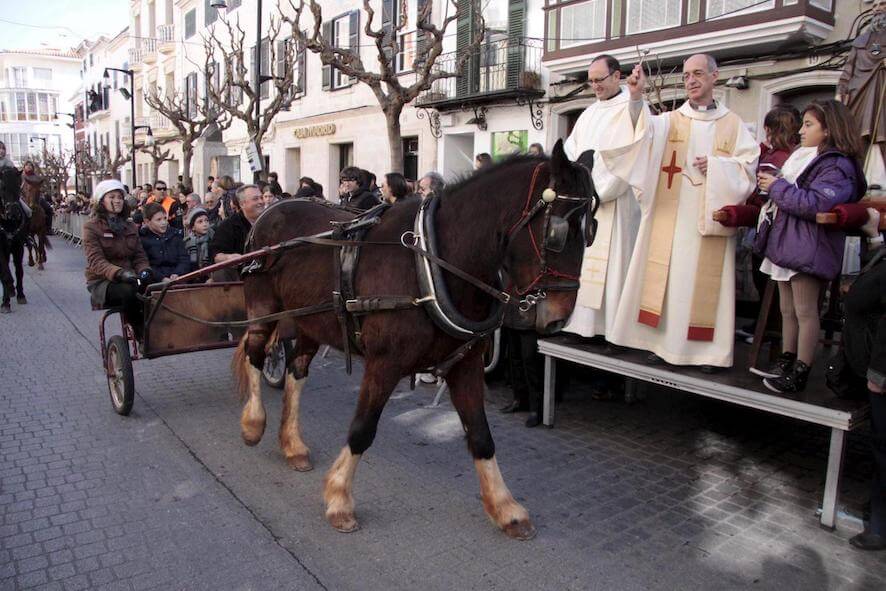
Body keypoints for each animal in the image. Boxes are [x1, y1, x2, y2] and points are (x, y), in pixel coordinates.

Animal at [234, 140, 596, 540]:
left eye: (591, 229)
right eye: (557, 231)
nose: (558, 317)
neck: (432, 264)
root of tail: (269, 210)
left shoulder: (466, 365)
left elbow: (480, 435)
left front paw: (504, 507)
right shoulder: (384, 364)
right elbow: (362, 429)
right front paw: (340, 499)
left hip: (312, 323)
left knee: (296, 372)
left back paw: (293, 445)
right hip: (262, 308)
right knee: (254, 353)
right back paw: (253, 424)